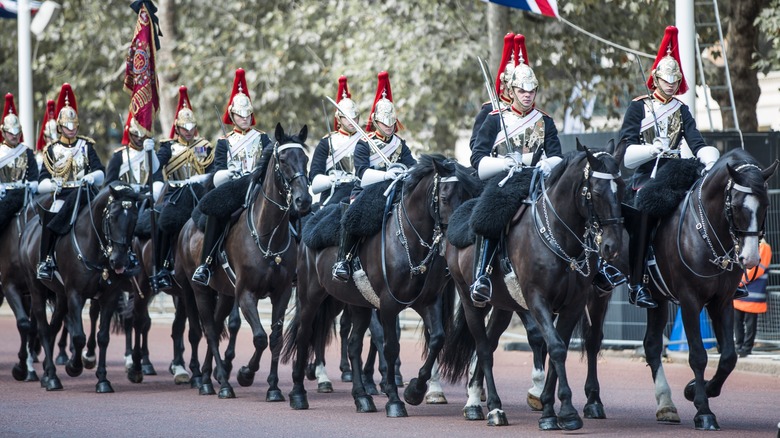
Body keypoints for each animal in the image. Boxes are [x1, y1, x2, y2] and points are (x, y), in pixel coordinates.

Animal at [21, 182, 142, 394]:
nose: (119, 261)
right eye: (112, 217)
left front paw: (103, 380)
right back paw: (53, 378)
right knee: (43, 329)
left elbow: (103, 337)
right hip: (36, 290)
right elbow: (78, 336)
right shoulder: (75, 294)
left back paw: (47, 374)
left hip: (61, 297)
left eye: (134, 218)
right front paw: (74, 366)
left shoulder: (109, 296)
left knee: (53, 328)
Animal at [438, 142, 628, 430]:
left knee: (491, 342)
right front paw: (567, 412)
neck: (559, 236)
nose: (612, 247)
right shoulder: (537, 300)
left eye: (622, 186)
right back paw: (489, 407)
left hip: (504, 306)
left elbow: (558, 347)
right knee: (483, 348)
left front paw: (550, 410)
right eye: (595, 191)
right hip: (472, 302)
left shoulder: (573, 304)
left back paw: (478, 399)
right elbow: (556, 348)